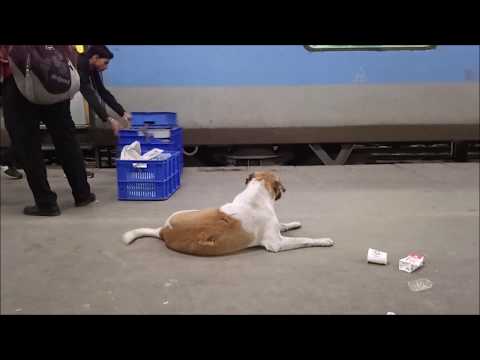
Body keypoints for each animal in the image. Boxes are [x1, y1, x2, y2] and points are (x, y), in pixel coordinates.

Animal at [122, 170, 336, 255]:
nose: (285, 191)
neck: (255, 194)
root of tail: (163, 231)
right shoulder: (276, 243)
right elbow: (305, 239)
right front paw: (324, 240)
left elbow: (283, 224)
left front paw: (293, 223)